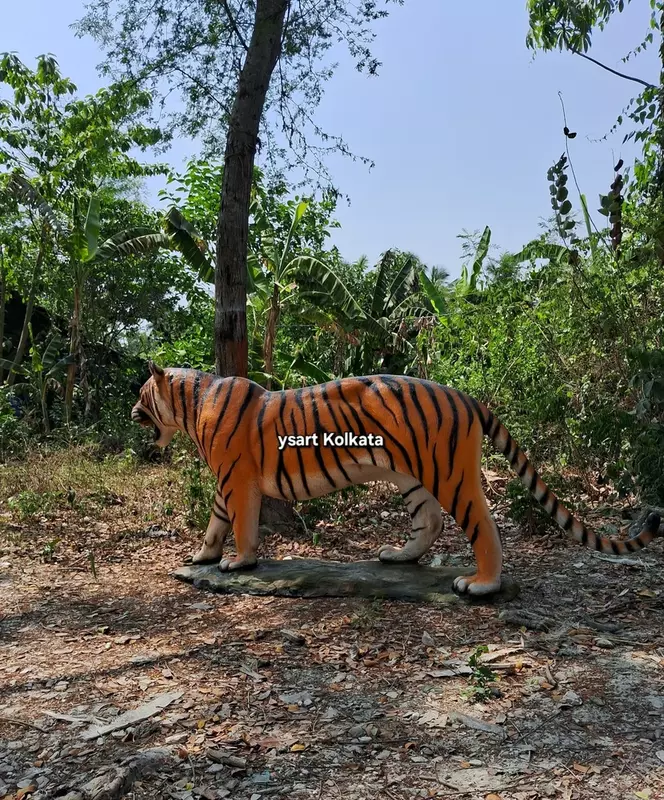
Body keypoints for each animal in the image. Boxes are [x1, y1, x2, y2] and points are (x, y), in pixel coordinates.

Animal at [131, 363, 661, 595]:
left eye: (141, 394)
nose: (132, 412)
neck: (193, 401)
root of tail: (468, 396)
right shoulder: (227, 482)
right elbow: (215, 521)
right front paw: (202, 556)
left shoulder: (237, 478)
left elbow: (240, 524)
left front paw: (238, 562)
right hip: (412, 475)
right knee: (430, 523)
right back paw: (399, 557)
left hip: (449, 472)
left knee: (483, 525)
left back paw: (481, 584)